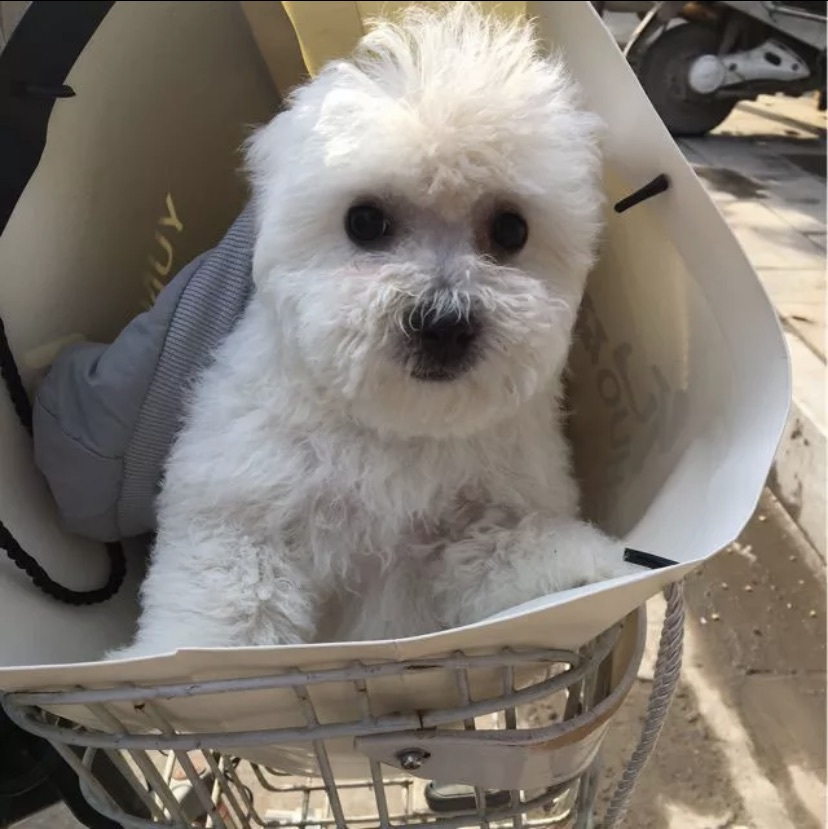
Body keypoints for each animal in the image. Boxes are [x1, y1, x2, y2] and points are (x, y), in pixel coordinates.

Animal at [109, 3, 639, 659]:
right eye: (364, 222)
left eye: (512, 231)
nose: (444, 323)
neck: (397, 431)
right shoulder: (240, 512)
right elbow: (227, 613)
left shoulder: (477, 530)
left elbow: (500, 552)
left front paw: (596, 565)